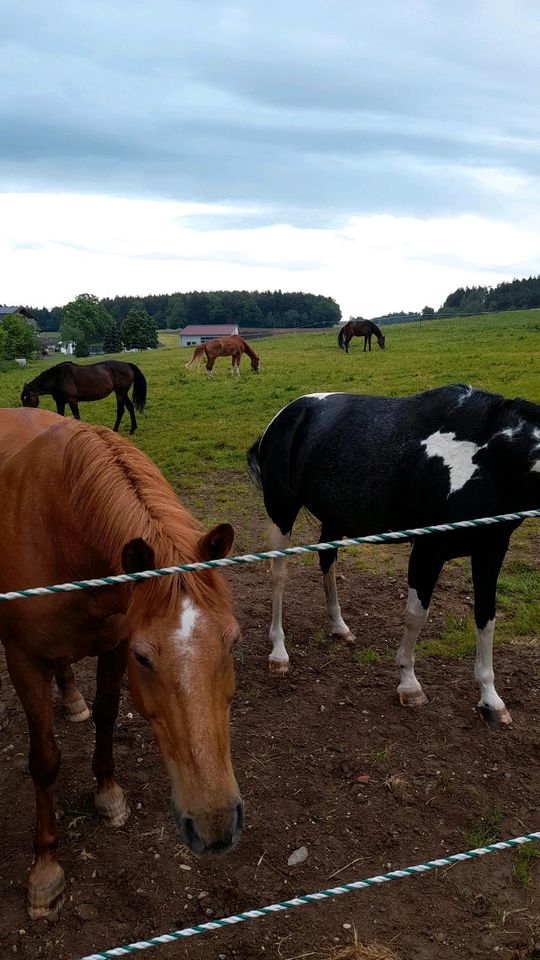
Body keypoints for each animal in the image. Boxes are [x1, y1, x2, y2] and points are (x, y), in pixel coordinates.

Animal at [0, 408, 243, 920]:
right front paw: (45, 870)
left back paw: (72, 699)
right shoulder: (24, 661)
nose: (215, 825)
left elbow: (108, 715)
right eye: (144, 657)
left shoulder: (112, 643)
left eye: (232, 641)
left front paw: (108, 794)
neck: (58, 528)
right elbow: (44, 759)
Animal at [20, 360, 148, 436]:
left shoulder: (72, 401)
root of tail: (127, 364)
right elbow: (60, 416)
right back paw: (132, 429)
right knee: (130, 407)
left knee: (121, 410)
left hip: (120, 393)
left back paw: (115, 429)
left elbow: (76, 417)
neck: (57, 378)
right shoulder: (60, 402)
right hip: (123, 393)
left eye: (27, 398)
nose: (25, 417)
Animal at [248, 382, 540, 728]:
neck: (486, 460)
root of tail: (285, 416)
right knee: (279, 576)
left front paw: (490, 700)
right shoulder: (427, 551)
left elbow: (486, 618)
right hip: (281, 511)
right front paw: (409, 685)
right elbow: (416, 615)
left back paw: (339, 627)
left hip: (334, 518)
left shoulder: (490, 552)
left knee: (327, 563)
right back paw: (279, 652)